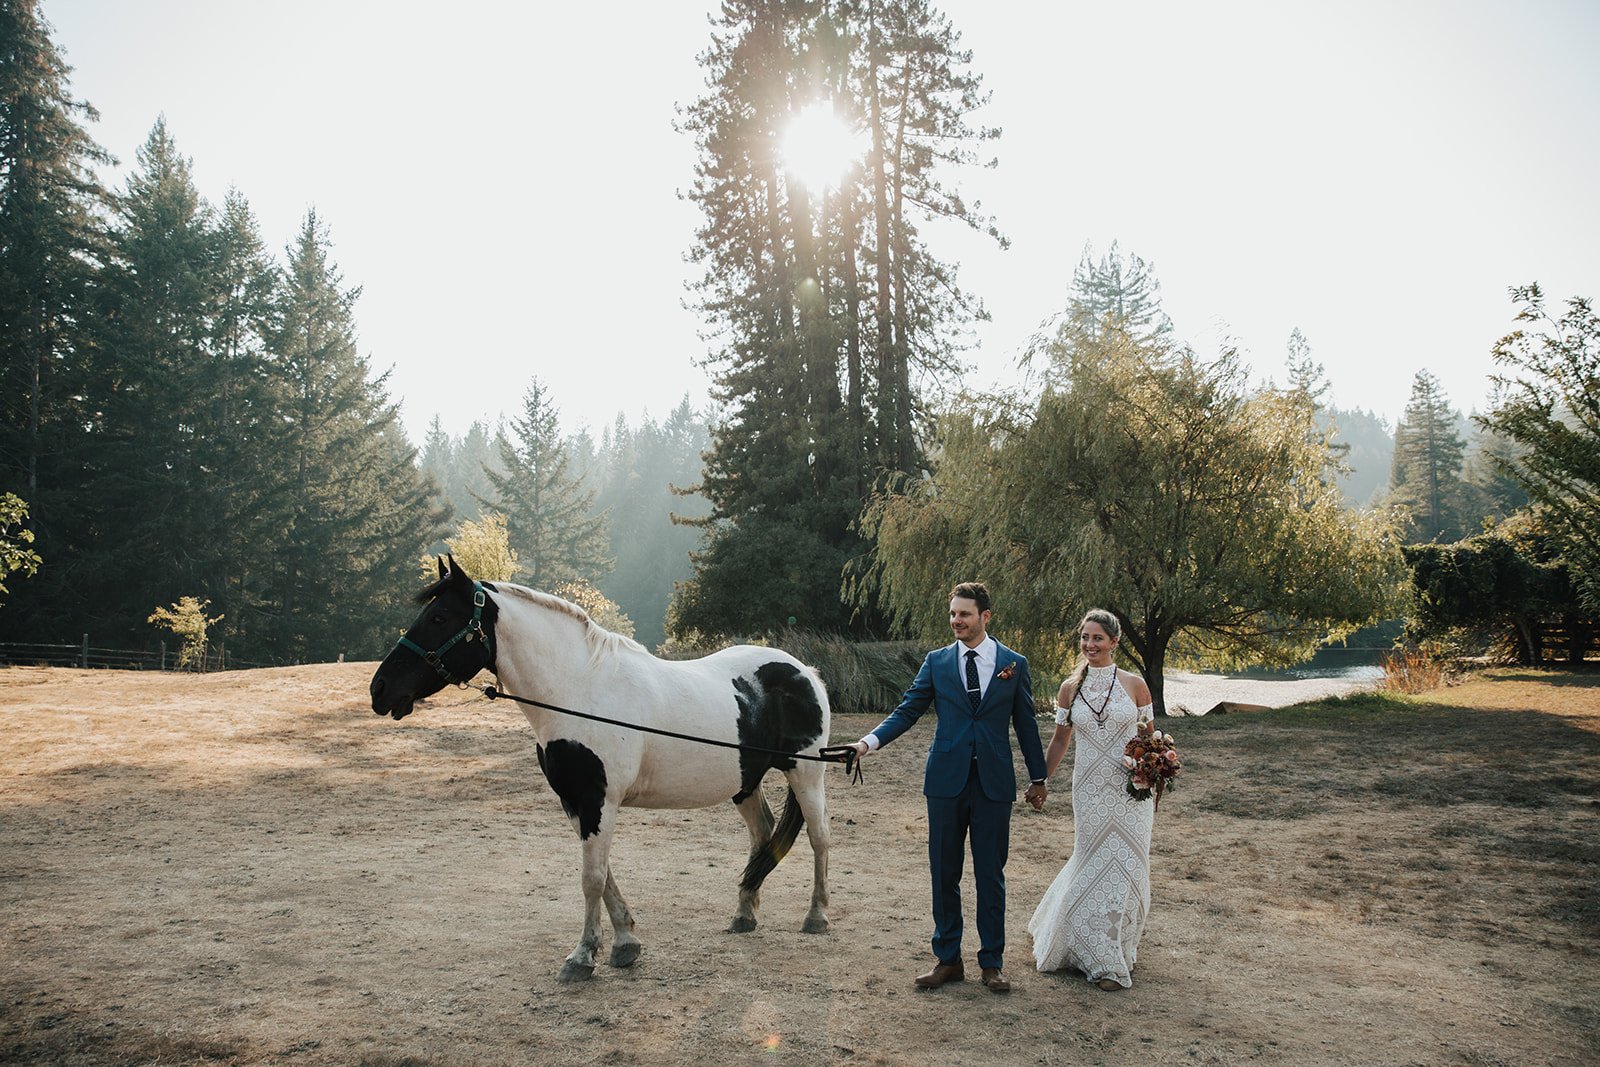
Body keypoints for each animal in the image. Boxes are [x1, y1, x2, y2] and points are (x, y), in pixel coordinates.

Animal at [366, 559, 832, 985]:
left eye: (440, 617)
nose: (380, 689)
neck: (579, 691)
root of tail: (804, 671)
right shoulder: (576, 803)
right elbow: (603, 874)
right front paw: (624, 943)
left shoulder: (597, 800)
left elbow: (591, 878)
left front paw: (582, 957)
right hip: (745, 783)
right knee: (763, 835)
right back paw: (744, 913)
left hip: (807, 774)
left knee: (818, 837)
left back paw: (817, 916)